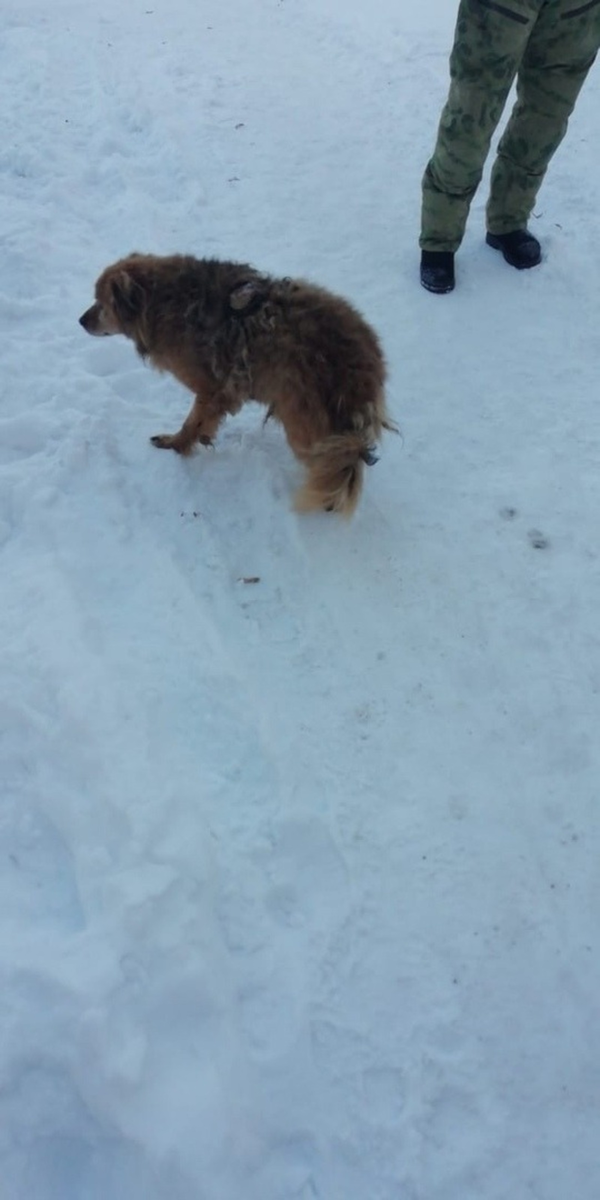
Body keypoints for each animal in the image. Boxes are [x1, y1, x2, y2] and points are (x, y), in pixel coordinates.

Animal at [81, 253, 398, 516]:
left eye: (100, 303)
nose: (80, 320)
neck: (164, 301)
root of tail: (366, 363)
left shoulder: (211, 388)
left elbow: (192, 422)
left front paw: (176, 446)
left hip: (305, 422)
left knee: (337, 462)